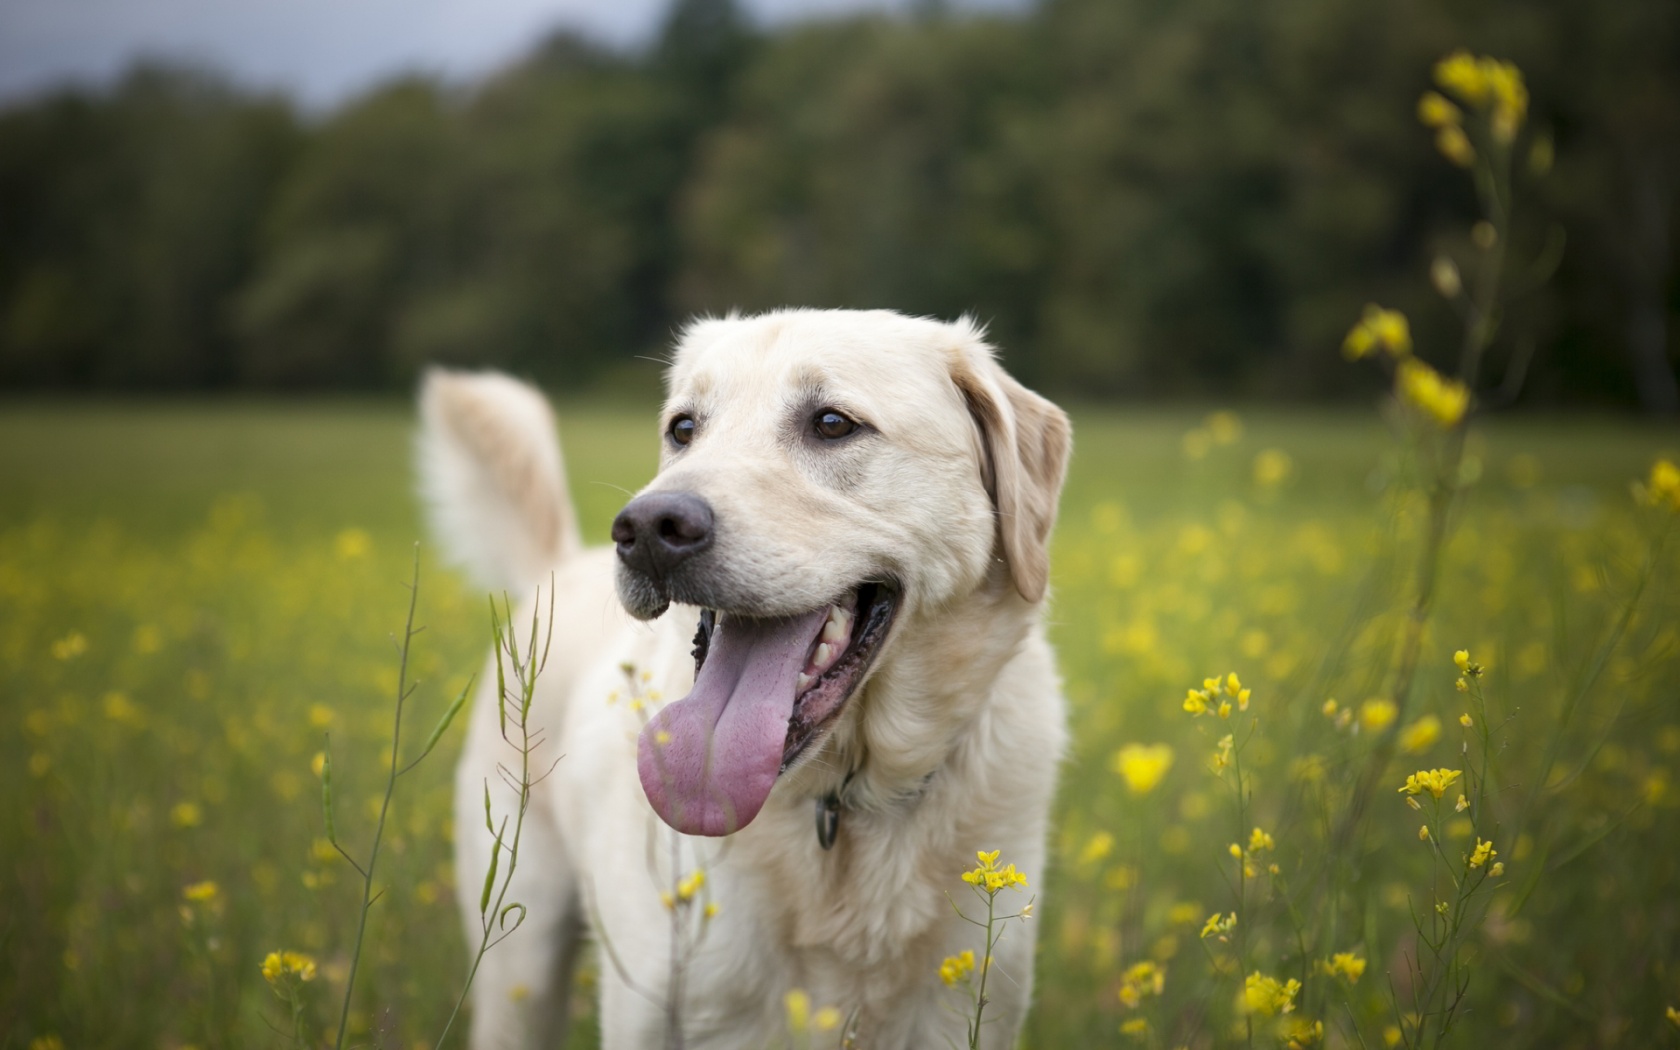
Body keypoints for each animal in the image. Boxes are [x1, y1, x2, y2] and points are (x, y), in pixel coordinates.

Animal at [423, 307, 1075, 1041]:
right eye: (684, 429)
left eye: (832, 423)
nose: (647, 529)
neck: (839, 807)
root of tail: (562, 563)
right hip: (520, 965)